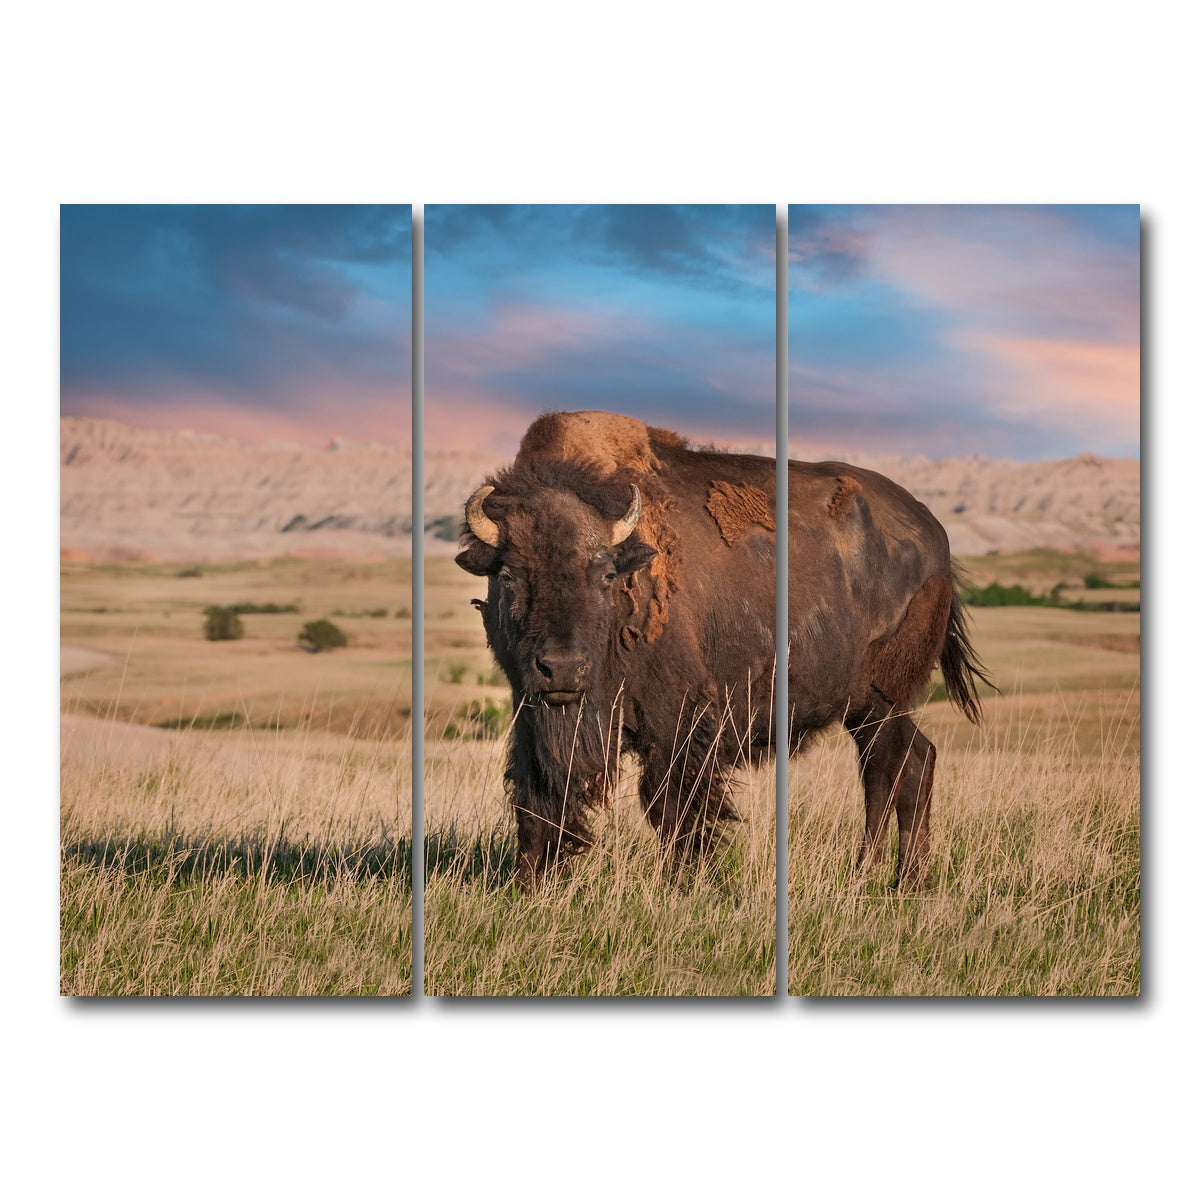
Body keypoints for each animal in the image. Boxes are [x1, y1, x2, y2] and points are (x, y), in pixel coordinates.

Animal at [456, 410, 989, 888]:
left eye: (605, 574)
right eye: (509, 574)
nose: (562, 669)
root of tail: (938, 540)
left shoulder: (677, 719)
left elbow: (673, 804)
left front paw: (687, 882)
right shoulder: (530, 713)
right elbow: (536, 796)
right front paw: (531, 884)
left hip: (883, 703)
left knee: (890, 770)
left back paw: (887, 876)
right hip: (871, 710)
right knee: (909, 764)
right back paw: (894, 877)